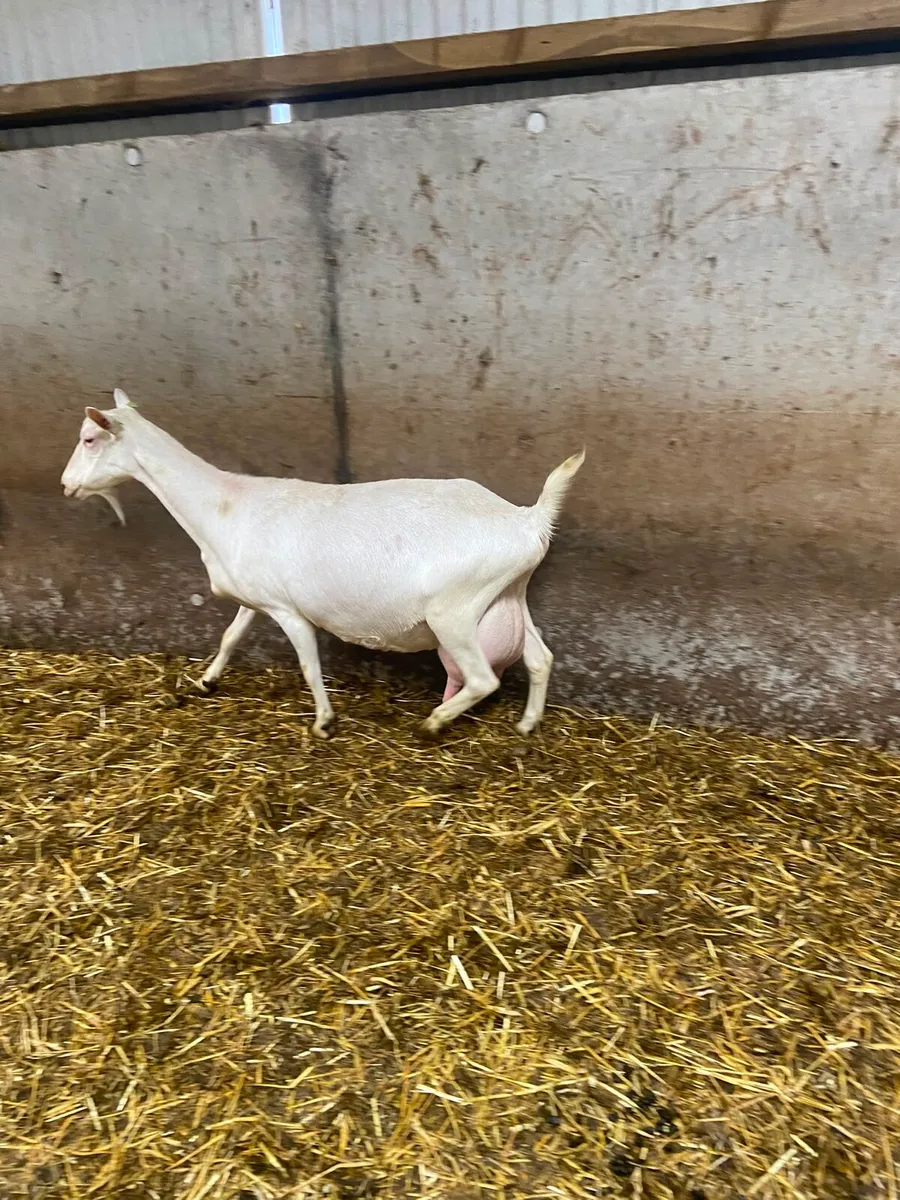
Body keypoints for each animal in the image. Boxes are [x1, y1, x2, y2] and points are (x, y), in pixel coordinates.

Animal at [62, 389, 584, 737]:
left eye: (88, 438)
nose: (66, 485)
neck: (223, 506)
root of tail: (526, 519)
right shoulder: (255, 594)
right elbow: (231, 634)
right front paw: (207, 680)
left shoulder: (288, 610)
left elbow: (310, 666)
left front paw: (324, 722)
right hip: (509, 595)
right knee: (540, 659)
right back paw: (527, 725)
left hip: (454, 611)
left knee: (482, 678)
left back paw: (433, 723)